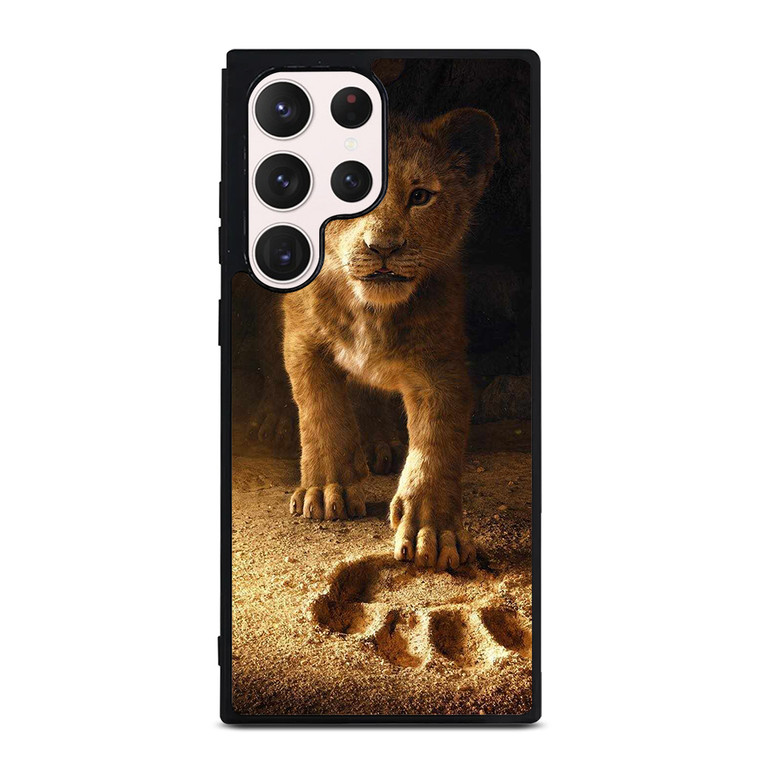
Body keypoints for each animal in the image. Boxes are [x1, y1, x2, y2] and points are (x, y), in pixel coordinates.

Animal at [284, 108, 500, 570]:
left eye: (419, 196)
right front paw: (325, 490)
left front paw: (433, 531)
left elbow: (436, 441)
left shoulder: (441, 362)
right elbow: (320, 410)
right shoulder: (302, 339)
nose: (383, 247)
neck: (371, 312)